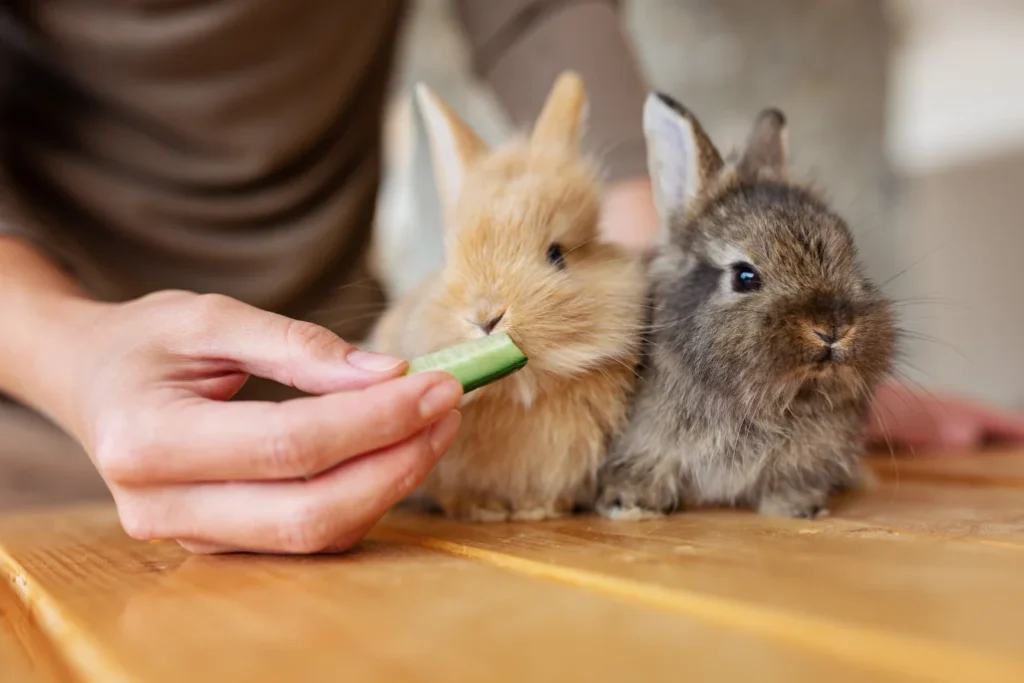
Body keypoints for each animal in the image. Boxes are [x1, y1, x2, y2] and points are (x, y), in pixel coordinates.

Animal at [369, 72, 649, 522]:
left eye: (557, 254)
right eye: (448, 259)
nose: (486, 318)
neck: (521, 389)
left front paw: (540, 510)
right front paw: (482, 510)